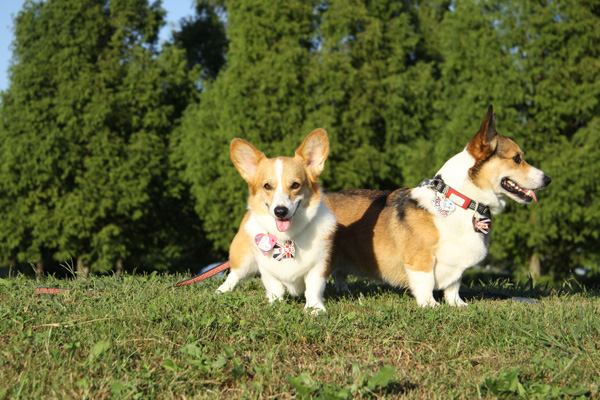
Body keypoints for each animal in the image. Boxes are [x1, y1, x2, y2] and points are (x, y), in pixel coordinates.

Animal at [216, 130, 338, 314]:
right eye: (267, 186)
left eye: (295, 185)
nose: (280, 211)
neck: (287, 237)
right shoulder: (267, 269)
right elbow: (275, 288)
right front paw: (275, 304)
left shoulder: (319, 265)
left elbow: (313, 288)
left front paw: (315, 308)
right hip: (244, 259)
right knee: (234, 274)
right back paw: (222, 290)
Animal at [326, 105, 552, 306]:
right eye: (517, 158)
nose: (548, 179)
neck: (463, 201)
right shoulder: (421, 259)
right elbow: (425, 284)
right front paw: (430, 305)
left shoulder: (456, 263)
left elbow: (454, 285)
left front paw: (457, 304)